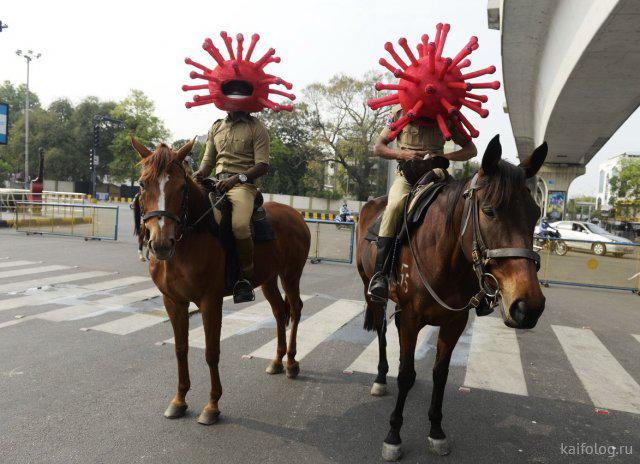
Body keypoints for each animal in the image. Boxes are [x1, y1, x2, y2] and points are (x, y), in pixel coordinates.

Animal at [130, 137, 310, 424]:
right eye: (143, 184)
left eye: (181, 187)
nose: (160, 244)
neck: (189, 238)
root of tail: (295, 214)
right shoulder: (173, 302)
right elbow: (181, 349)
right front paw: (179, 400)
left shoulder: (210, 302)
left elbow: (211, 352)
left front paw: (212, 405)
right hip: (269, 279)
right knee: (280, 312)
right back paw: (277, 360)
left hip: (291, 274)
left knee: (295, 308)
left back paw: (292, 362)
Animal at [358, 135, 548, 460]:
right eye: (489, 211)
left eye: (535, 214)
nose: (528, 306)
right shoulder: (411, 319)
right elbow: (405, 374)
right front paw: (394, 435)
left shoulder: (454, 322)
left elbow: (440, 374)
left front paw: (436, 430)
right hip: (371, 292)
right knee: (382, 331)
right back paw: (381, 378)